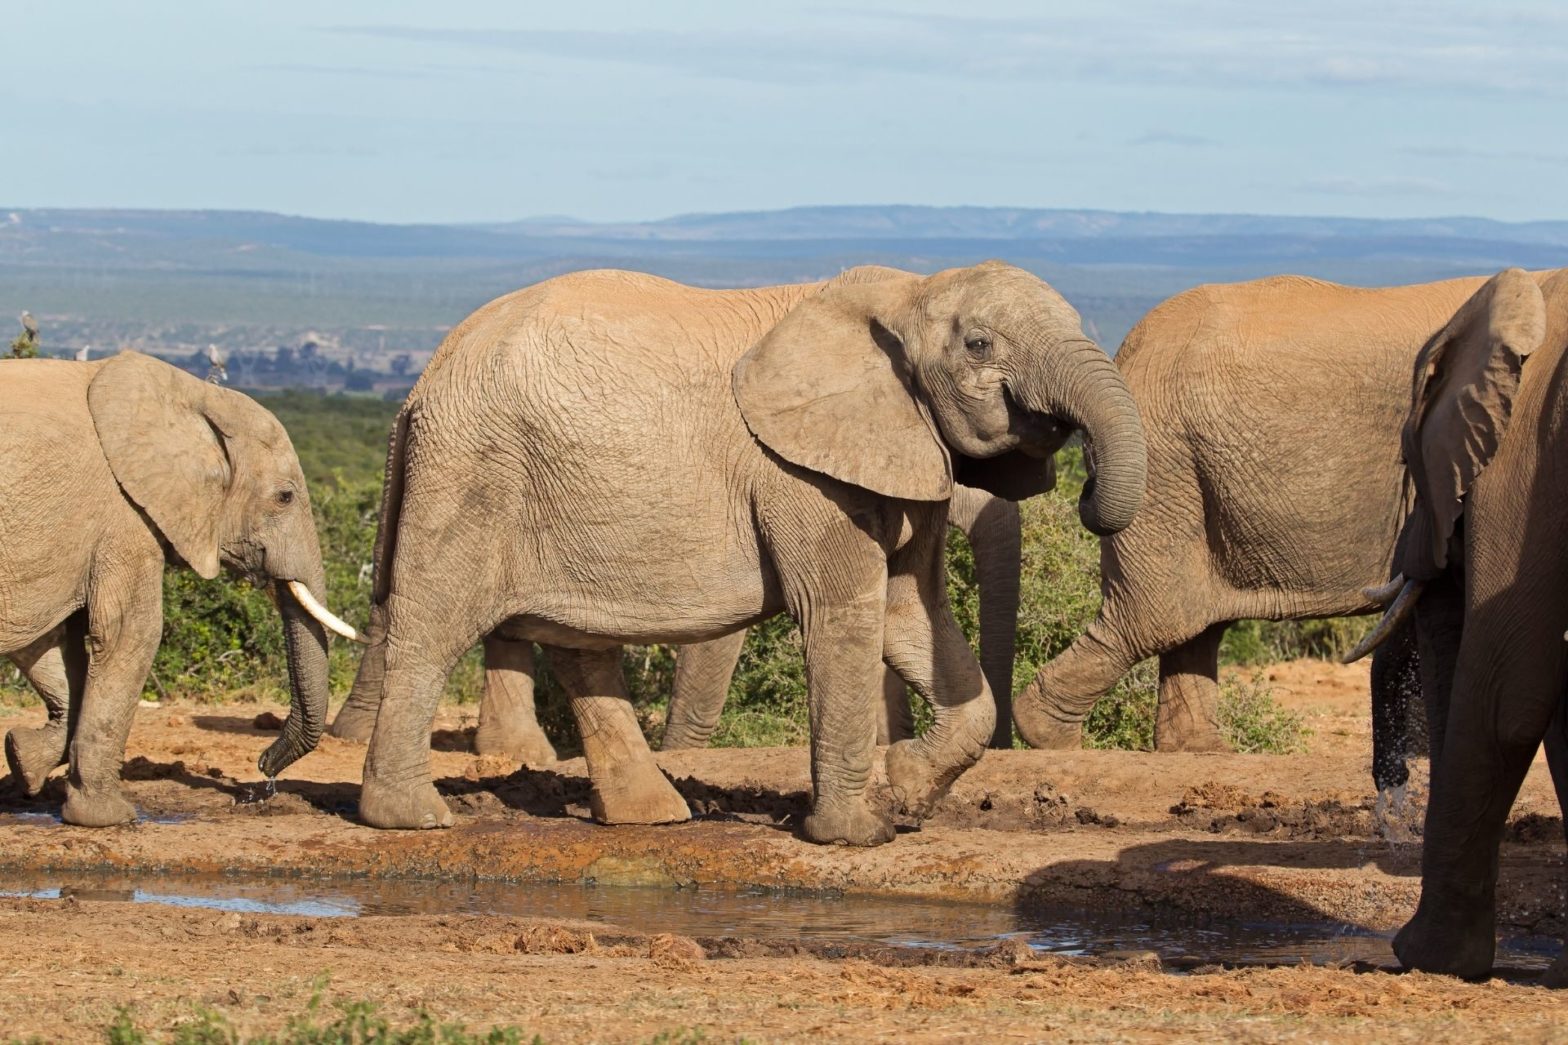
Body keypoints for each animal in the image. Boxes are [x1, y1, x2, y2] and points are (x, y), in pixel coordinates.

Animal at [0, 351, 353, 825]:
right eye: (284, 497)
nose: (262, 772)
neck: (192, 395)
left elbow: (50, 641)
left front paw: (23, 760)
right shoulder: (124, 513)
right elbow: (132, 632)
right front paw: (110, 817)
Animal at [1010, 273, 1500, 757]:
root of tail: (1128, 348)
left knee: (1194, 623)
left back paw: (1200, 750)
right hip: (1165, 462)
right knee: (1158, 618)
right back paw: (1051, 737)